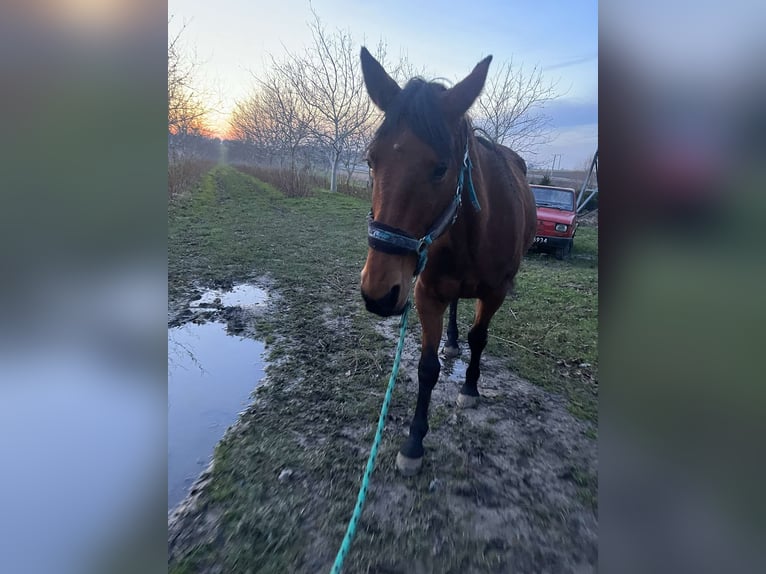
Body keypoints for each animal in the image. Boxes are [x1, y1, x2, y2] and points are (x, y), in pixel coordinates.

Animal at [362, 47, 536, 476]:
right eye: (371, 161)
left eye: (441, 168)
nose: (379, 292)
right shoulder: (426, 293)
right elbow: (426, 368)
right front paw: (413, 443)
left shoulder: (495, 293)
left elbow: (480, 338)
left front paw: (470, 388)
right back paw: (452, 343)